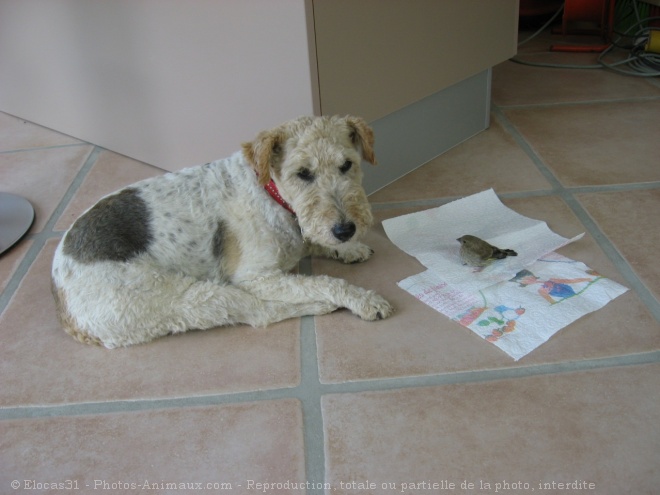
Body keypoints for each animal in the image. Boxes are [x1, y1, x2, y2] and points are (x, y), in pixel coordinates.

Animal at [52, 116, 392, 348]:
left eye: (347, 164)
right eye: (303, 173)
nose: (346, 229)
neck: (270, 192)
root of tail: (61, 298)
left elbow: (312, 242)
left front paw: (350, 248)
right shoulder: (257, 276)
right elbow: (325, 282)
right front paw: (365, 299)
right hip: (189, 296)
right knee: (260, 312)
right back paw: (322, 306)